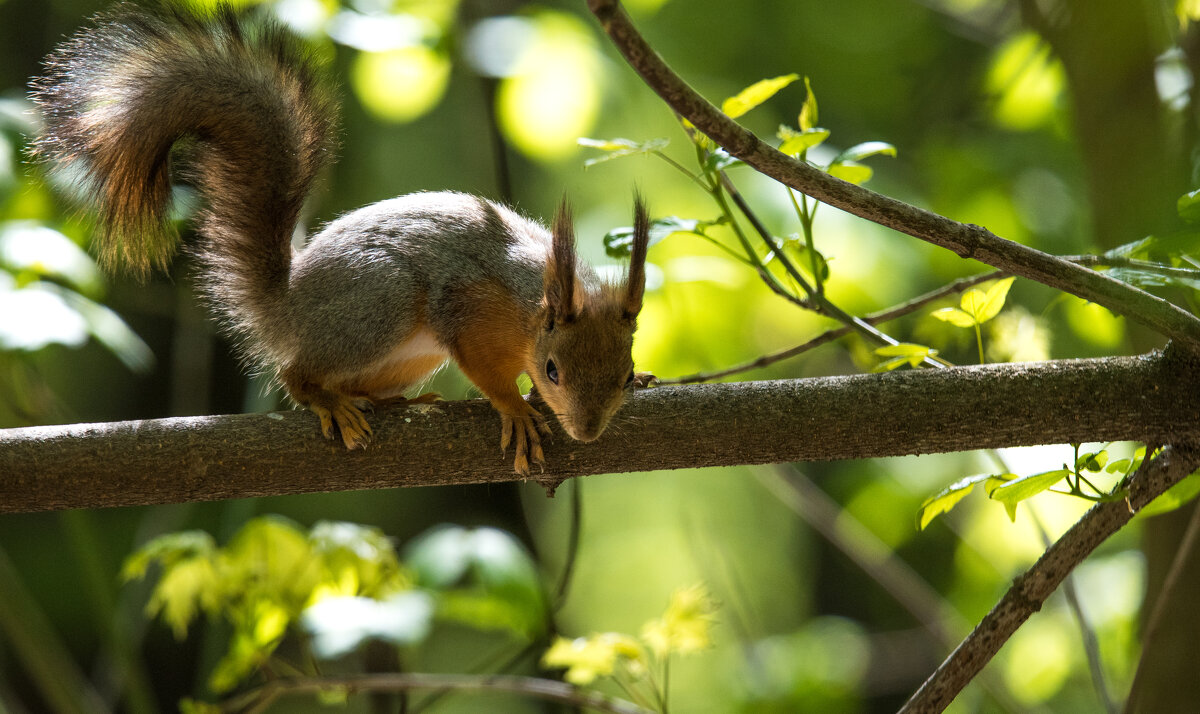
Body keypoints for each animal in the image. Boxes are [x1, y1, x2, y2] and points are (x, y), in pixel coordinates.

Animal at [30, 5, 648, 477]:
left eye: (621, 373)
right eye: (552, 370)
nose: (589, 431)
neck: (533, 300)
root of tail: (288, 307)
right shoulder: (471, 306)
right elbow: (483, 367)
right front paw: (514, 407)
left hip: (407, 351)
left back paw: (388, 399)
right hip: (381, 302)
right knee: (296, 374)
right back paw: (327, 399)